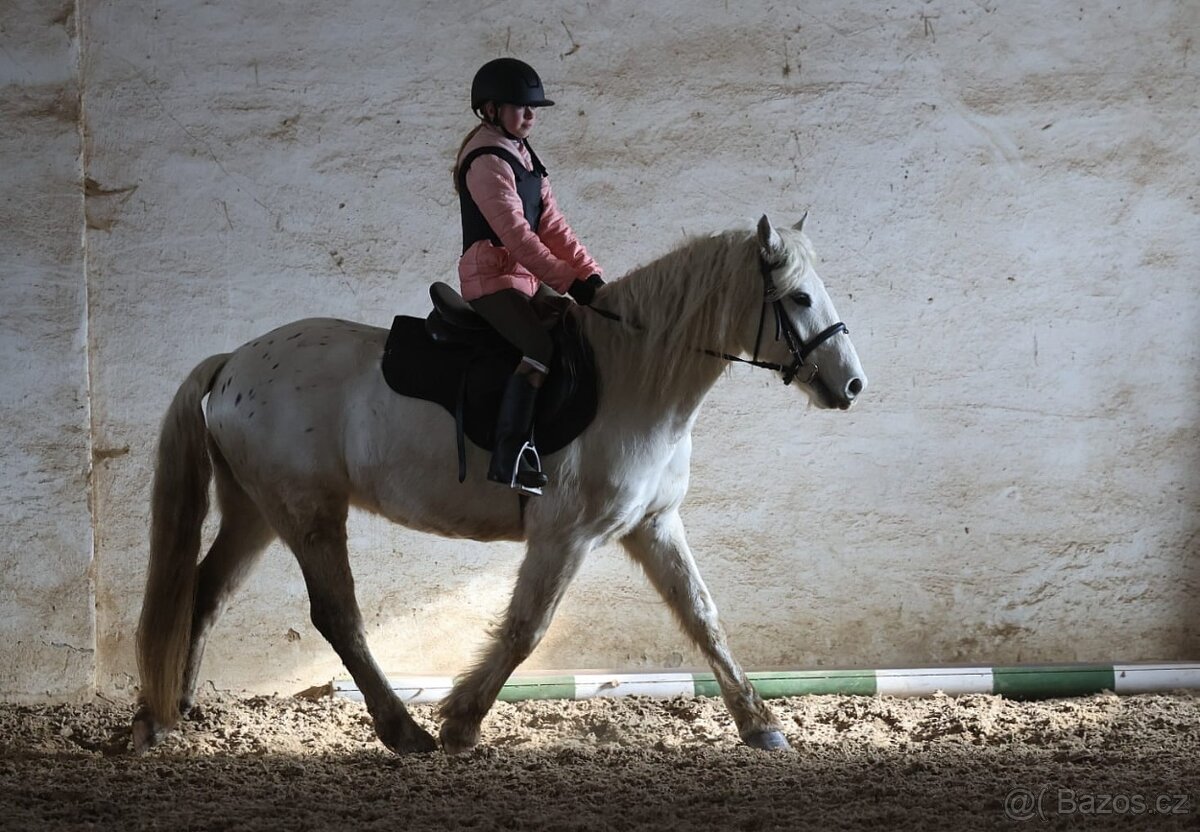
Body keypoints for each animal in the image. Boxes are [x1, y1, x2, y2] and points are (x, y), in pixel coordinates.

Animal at [132, 215, 867, 755]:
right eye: (800, 297)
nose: (853, 384)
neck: (634, 379)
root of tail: (235, 362)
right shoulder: (566, 535)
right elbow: (525, 627)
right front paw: (461, 720)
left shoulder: (654, 525)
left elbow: (703, 616)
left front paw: (760, 723)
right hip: (308, 512)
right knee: (336, 615)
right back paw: (403, 730)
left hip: (258, 511)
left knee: (205, 591)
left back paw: (168, 715)